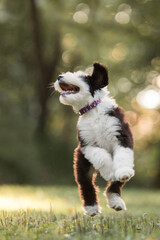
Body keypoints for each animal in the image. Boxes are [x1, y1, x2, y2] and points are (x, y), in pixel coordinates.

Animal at [54, 62, 134, 216]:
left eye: (80, 76)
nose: (59, 77)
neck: (93, 109)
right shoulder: (86, 145)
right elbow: (101, 155)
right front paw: (109, 171)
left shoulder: (121, 137)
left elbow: (122, 156)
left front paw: (122, 171)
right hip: (82, 165)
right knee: (86, 185)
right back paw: (92, 208)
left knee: (114, 186)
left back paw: (116, 201)